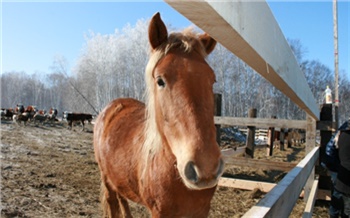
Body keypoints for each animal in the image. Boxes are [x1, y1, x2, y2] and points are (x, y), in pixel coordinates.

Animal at [93, 12, 224, 218]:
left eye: (212, 79)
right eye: (160, 80)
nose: (206, 166)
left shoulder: (202, 211)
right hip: (107, 181)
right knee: (113, 202)